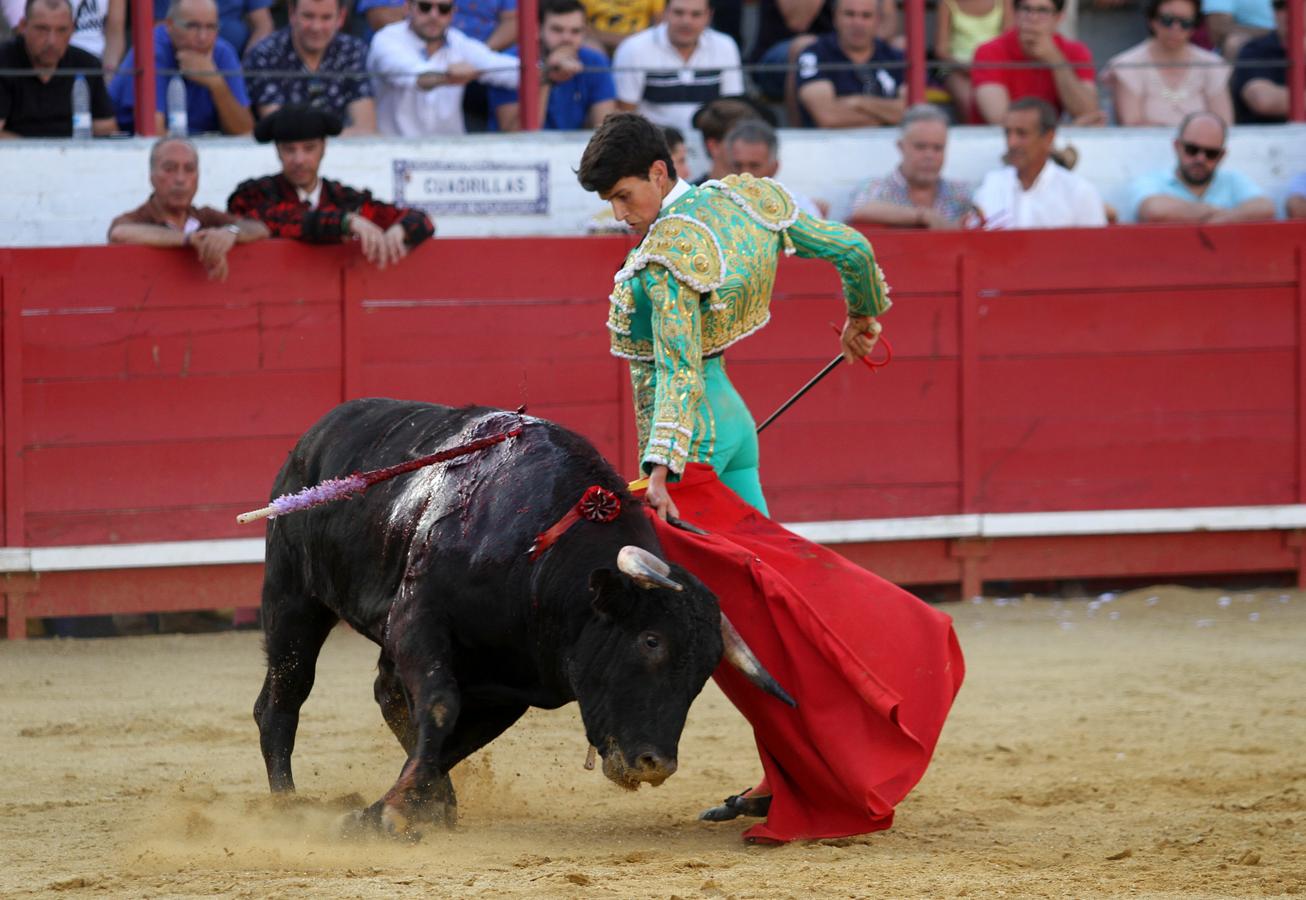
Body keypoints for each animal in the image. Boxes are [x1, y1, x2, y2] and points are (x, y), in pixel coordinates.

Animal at [252, 399, 783, 835]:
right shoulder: (417, 620)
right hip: (292, 597)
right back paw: (287, 806)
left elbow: (452, 740)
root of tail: (321, 429)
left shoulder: (511, 684)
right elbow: (441, 707)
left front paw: (399, 808)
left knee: (386, 693)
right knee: (283, 697)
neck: (536, 556)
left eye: (704, 673)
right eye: (650, 641)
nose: (655, 764)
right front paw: (393, 813)